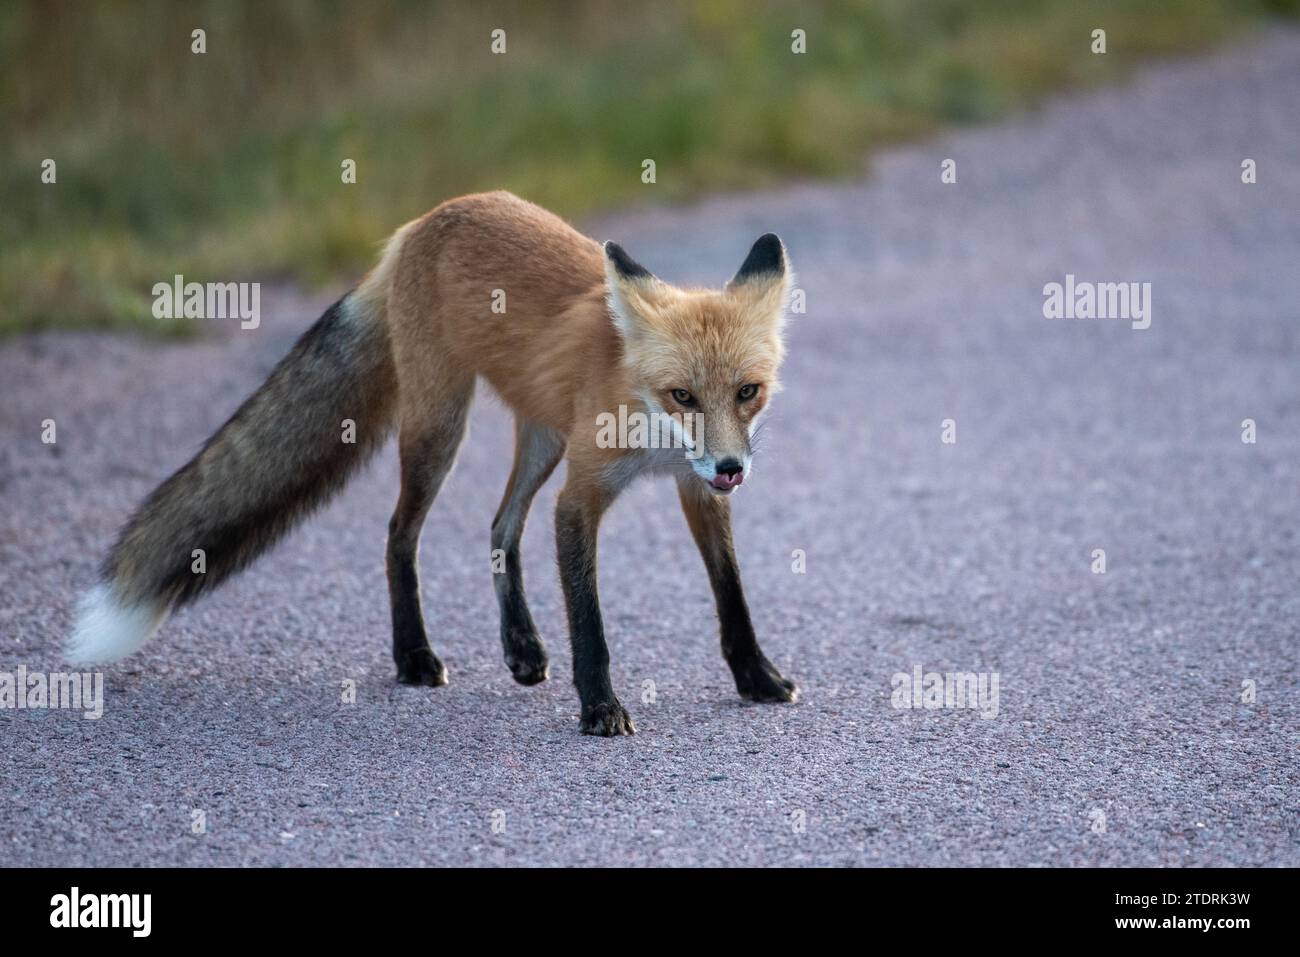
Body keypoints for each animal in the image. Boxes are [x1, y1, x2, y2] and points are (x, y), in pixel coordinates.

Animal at [73, 191, 800, 738]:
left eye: (747, 391)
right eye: (683, 396)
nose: (732, 467)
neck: (649, 426)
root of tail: (425, 220)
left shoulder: (695, 487)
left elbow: (731, 593)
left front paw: (756, 677)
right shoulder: (582, 496)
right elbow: (589, 622)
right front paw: (599, 707)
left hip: (541, 438)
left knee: (500, 526)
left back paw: (521, 646)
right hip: (440, 428)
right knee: (401, 534)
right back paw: (414, 656)